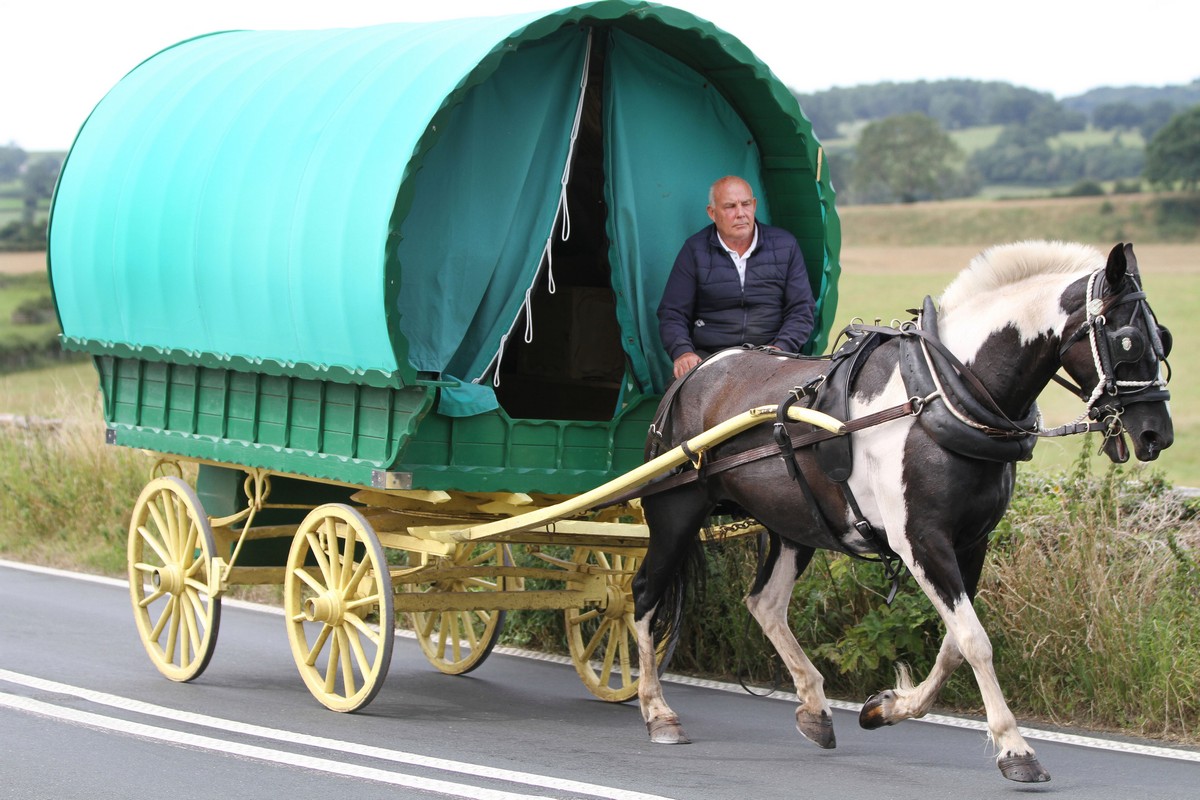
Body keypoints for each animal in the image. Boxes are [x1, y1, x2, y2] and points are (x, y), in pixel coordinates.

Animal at [633, 242, 1176, 782]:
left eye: (1163, 338)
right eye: (1127, 341)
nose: (1157, 434)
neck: (941, 394)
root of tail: (697, 372)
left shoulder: (971, 541)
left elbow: (955, 643)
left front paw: (887, 707)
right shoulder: (921, 540)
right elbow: (975, 640)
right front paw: (1015, 748)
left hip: (796, 524)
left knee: (765, 603)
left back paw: (815, 708)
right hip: (676, 512)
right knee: (645, 597)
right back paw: (657, 711)